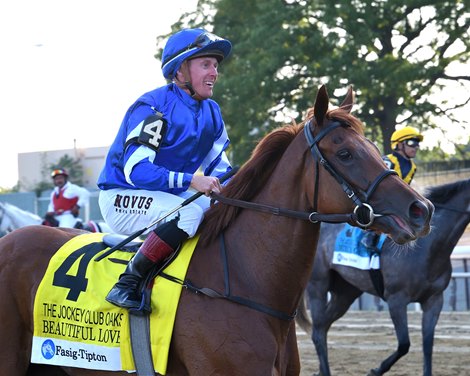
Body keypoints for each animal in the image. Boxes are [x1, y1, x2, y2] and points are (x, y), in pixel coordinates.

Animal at [298, 178, 470, 374]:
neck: (428, 250)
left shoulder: (434, 300)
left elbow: (428, 345)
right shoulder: (396, 299)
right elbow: (404, 344)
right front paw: (376, 370)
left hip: (346, 292)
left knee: (323, 327)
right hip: (317, 286)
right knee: (318, 331)